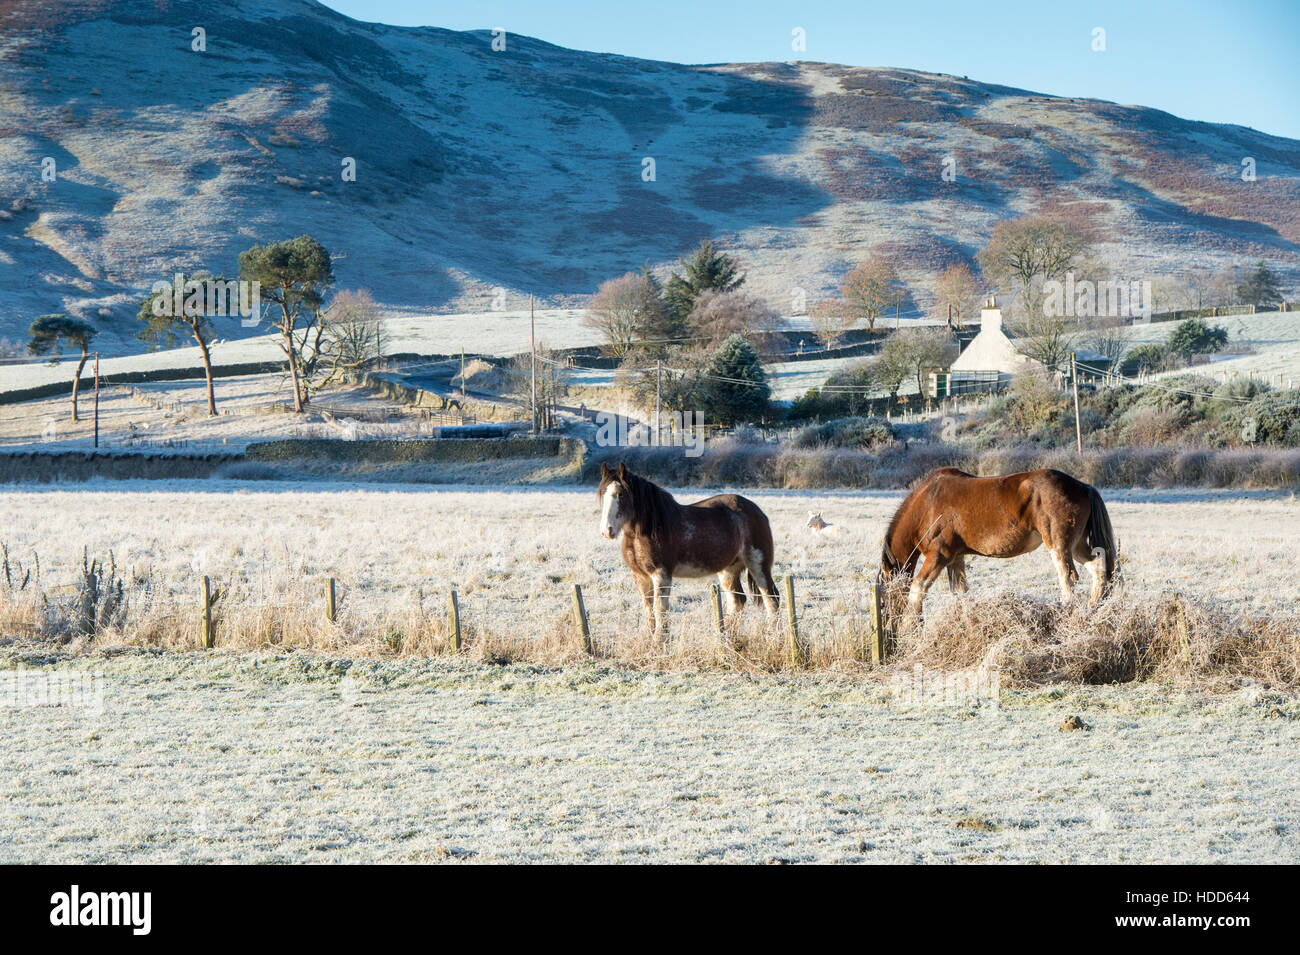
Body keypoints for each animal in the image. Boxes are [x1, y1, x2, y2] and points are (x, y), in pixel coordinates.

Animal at [597, 462, 779, 633]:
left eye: (620, 494)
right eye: (602, 494)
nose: (607, 531)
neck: (646, 529)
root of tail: (758, 512)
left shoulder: (661, 574)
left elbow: (660, 611)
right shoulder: (640, 576)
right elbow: (649, 613)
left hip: (758, 565)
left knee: (771, 599)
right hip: (729, 570)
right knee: (737, 602)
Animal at [880, 467, 1118, 616]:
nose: (891, 620)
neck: (928, 504)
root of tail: (1083, 486)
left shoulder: (939, 555)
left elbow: (918, 587)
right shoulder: (955, 558)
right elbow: (960, 592)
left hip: (1058, 546)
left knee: (1067, 578)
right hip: (1076, 546)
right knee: (1097, 567)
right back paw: (1093, 606)